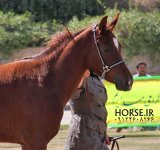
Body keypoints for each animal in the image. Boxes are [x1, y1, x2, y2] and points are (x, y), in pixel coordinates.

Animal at [0, 14, 132, 149]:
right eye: (106, 48)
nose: (128, 81)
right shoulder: (36, 142)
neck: (43, 82)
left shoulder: (26, 143)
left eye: (119, 46)